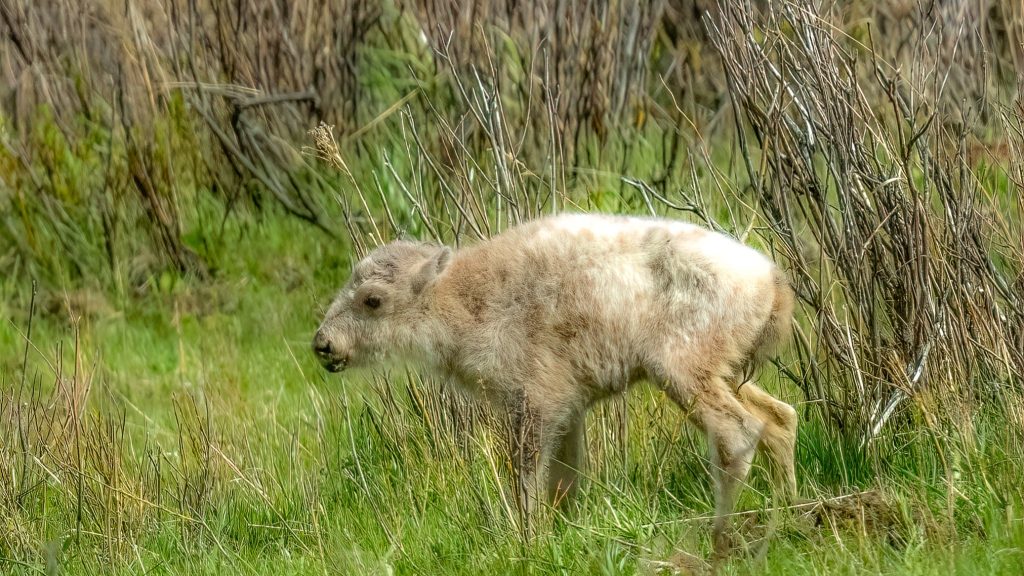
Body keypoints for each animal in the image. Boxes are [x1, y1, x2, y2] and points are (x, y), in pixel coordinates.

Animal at [313, 212, 798, 553]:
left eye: (372, 300)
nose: (323, 344)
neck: (465, 298)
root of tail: (773, 282)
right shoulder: (569, 408)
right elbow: (564, 479)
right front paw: (560, 534)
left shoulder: (534, 402)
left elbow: (527, 476)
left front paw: (527, 540)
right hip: (727, 373)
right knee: (781, 419)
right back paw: (789, 513)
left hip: (683, 373)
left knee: (737, 435)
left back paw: (722, 536)